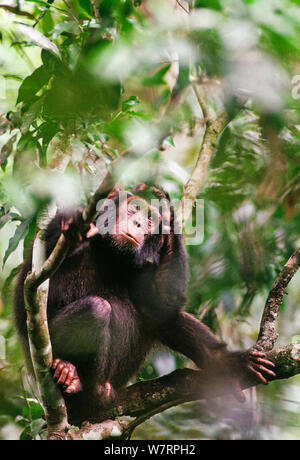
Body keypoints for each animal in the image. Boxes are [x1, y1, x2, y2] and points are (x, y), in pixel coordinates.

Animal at [12, 183, 276, 424]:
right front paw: (76, 224)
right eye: (133, 210)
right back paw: (71, 375)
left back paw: (227, 363)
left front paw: (169, 217)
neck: (108, 252)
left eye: (150, 222)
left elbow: (161, 304)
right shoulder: (54, 231)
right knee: (97, 309)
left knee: (165, 319)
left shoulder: (146, 265)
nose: (139, 223)